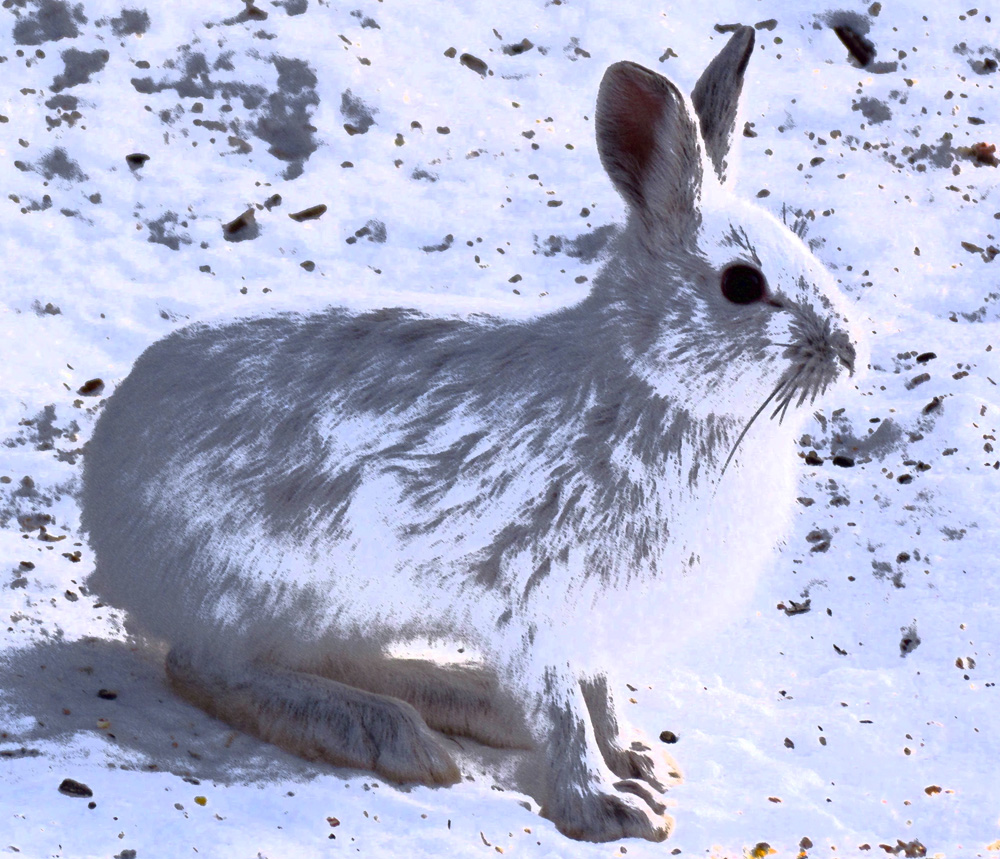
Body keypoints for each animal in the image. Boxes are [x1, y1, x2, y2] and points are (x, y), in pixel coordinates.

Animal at [81, 26, 862, 843]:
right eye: (742, 285)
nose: (850, 351)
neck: (648, 383)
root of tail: (106, 517)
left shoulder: (589, 623)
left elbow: (602, 695)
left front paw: (639, 759)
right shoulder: (538, 604)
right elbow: (565, 712)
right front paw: (611, 807)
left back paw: (464, 704)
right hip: (264, 583)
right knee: (209, 667)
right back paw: (393, 735)